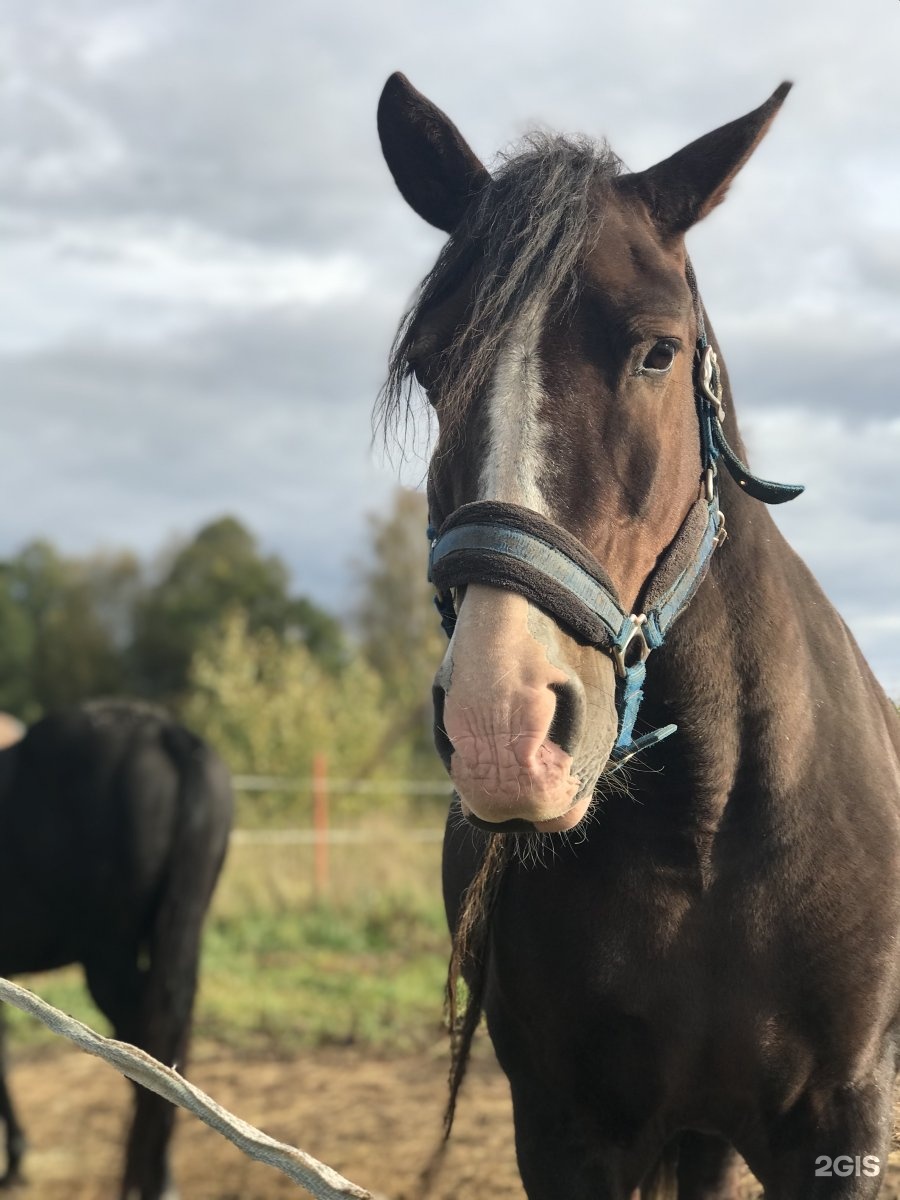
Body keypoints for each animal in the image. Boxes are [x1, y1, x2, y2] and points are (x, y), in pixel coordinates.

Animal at [376, 77, 900, 1200]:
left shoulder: (843, 1120)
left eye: (659, 350)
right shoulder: (568, 1129)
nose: (504, 725)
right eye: (433, 368)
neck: (700, 836)